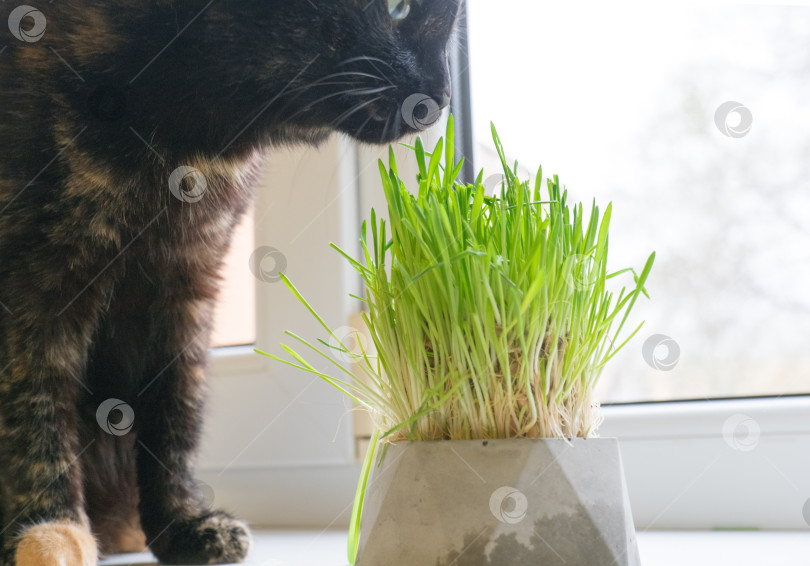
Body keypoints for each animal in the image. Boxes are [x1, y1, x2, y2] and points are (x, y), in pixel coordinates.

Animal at [0, 2, 458, 564]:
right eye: (398, 9)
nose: (442, 96)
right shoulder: (33, 283)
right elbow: (34, 413)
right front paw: (50, 532)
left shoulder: (188, 284)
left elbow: (176, 409)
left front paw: (183, 525)